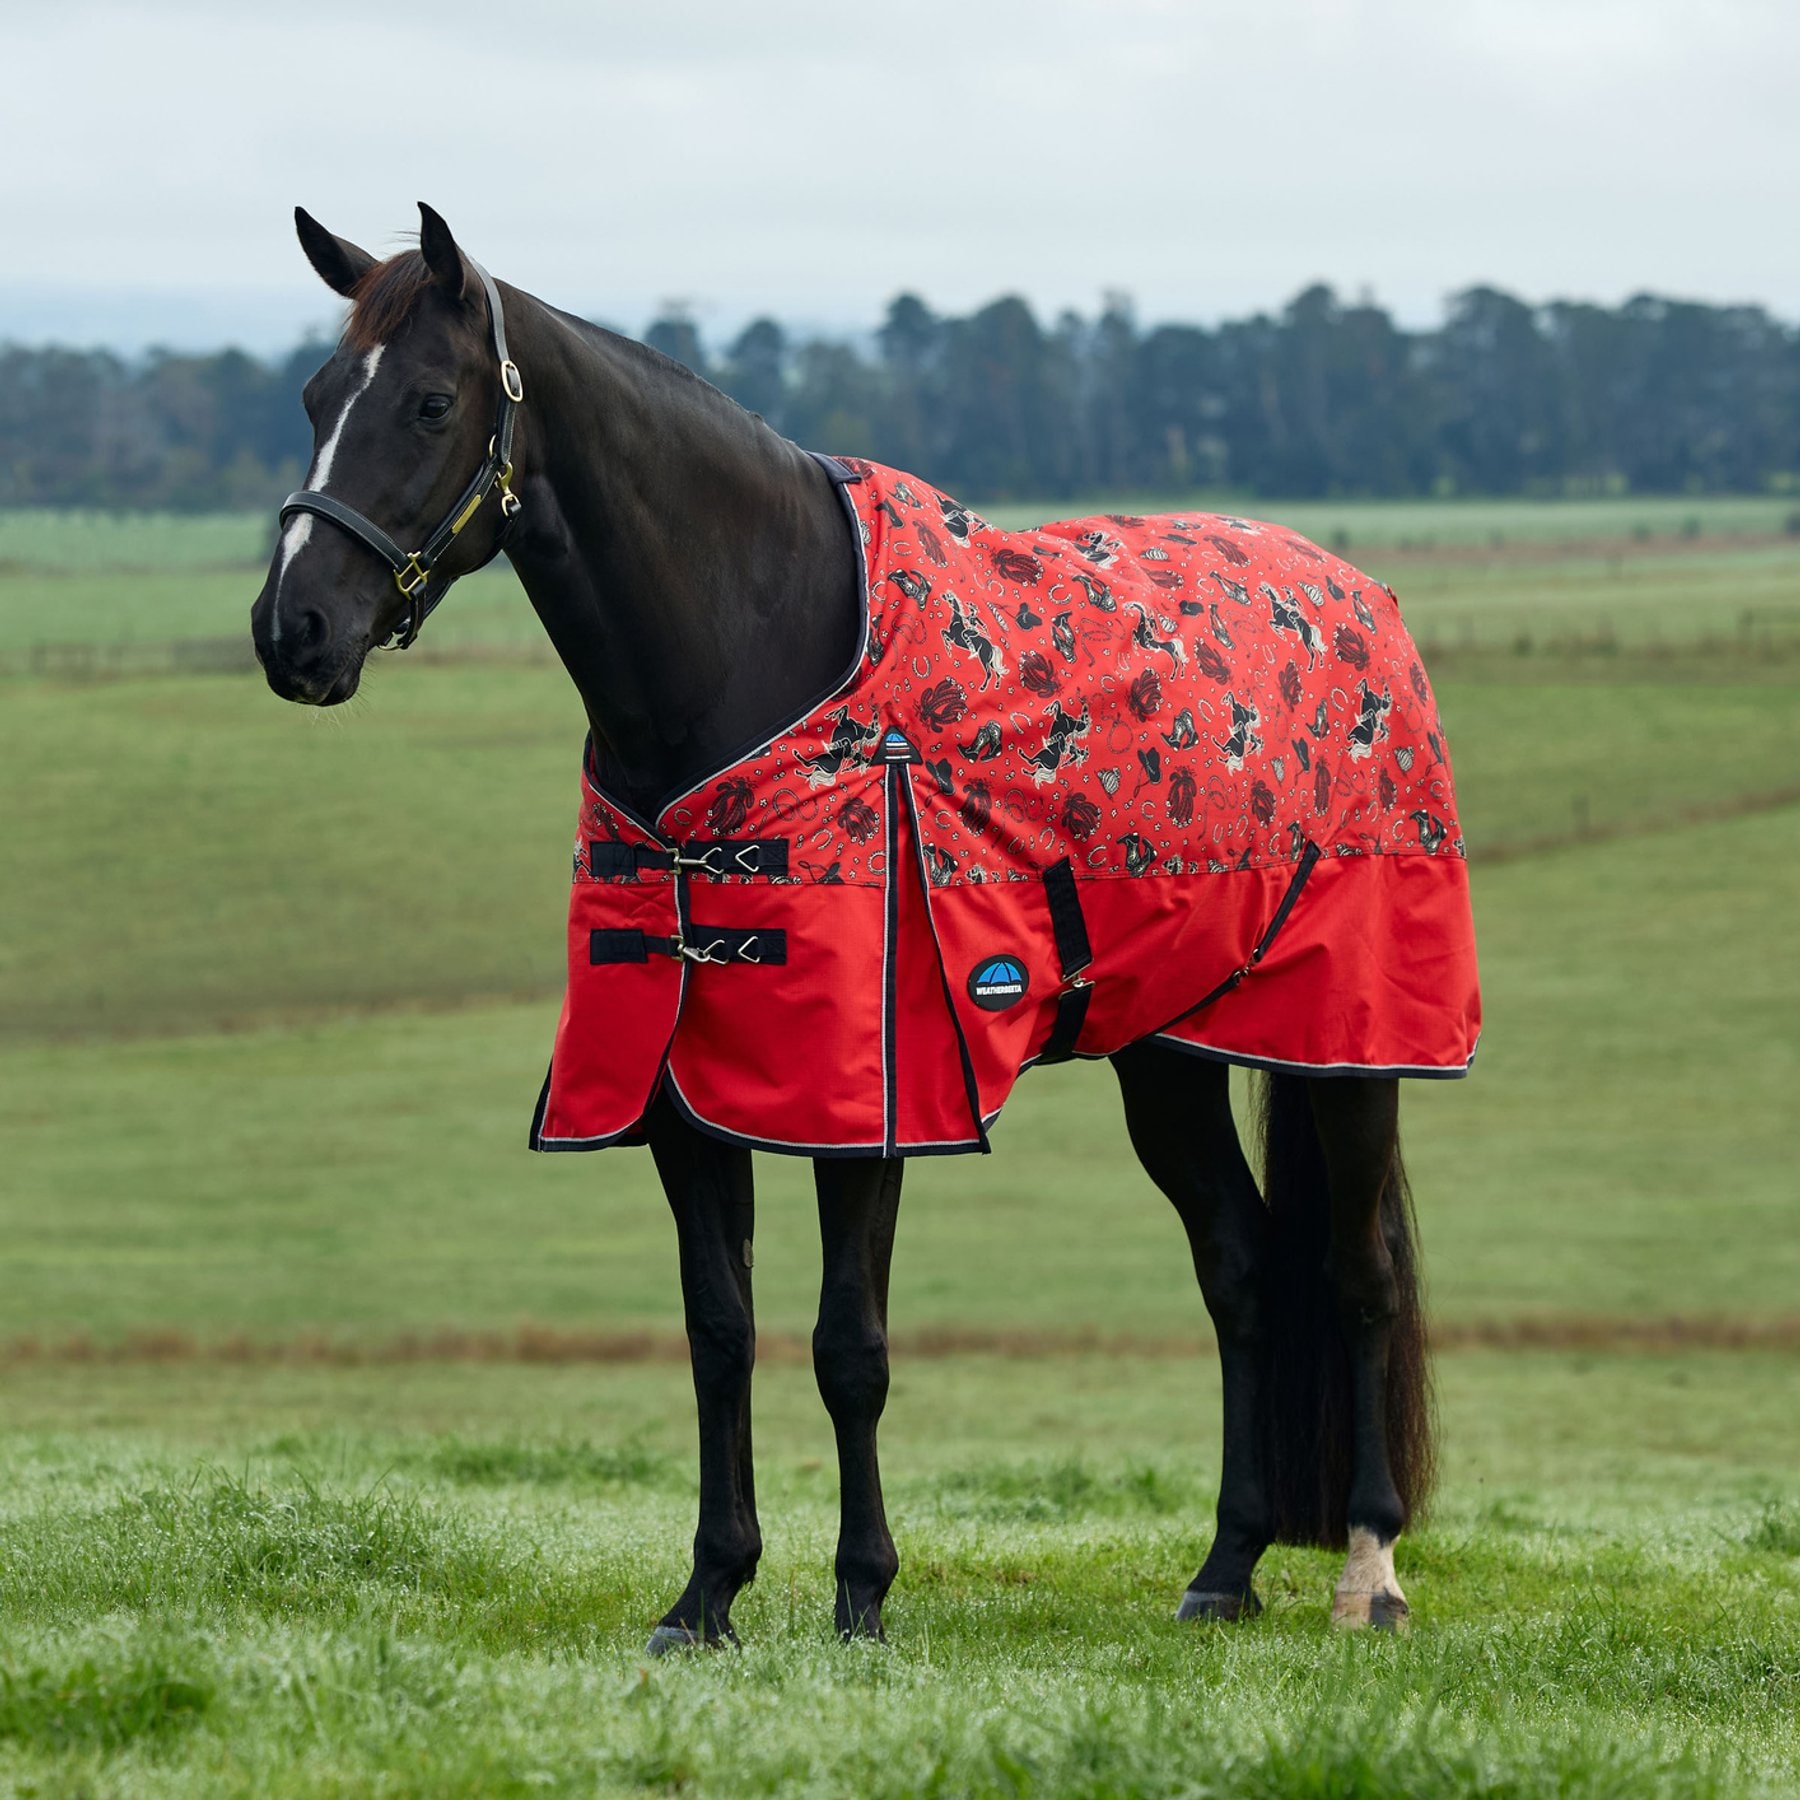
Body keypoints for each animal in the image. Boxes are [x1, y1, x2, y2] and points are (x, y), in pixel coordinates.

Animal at [252, 203, 1455, 1649]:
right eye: (317, 396)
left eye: (431, 401)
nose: (292, 629)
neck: (752, 665)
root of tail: (1358, 601)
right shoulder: (681, 1093)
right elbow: (719, 1332)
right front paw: (708, 1593)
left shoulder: (870, 1096)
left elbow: (849, 1347)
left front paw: (862, 1597)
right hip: (1165, 1052)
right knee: (1242, 1269)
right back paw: (1224, 1569)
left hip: (1349, 1046)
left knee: (1359, 1271)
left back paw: (1368, 1570)